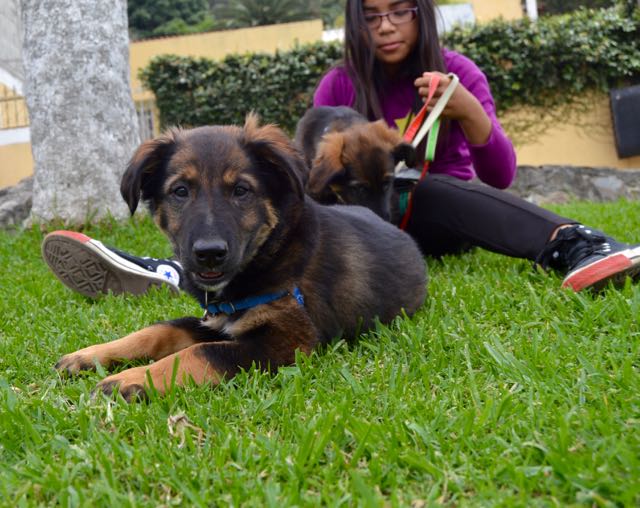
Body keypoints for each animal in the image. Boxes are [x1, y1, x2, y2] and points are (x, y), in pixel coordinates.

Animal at [55, 114, 427, 400]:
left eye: (241, 191)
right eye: (180, 191)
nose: (209, 254)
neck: (270, 252)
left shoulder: (286, 341)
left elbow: (197, 353)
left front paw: (131, 379)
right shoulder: (216, 320)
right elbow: (158, 330)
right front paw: (89, 355)